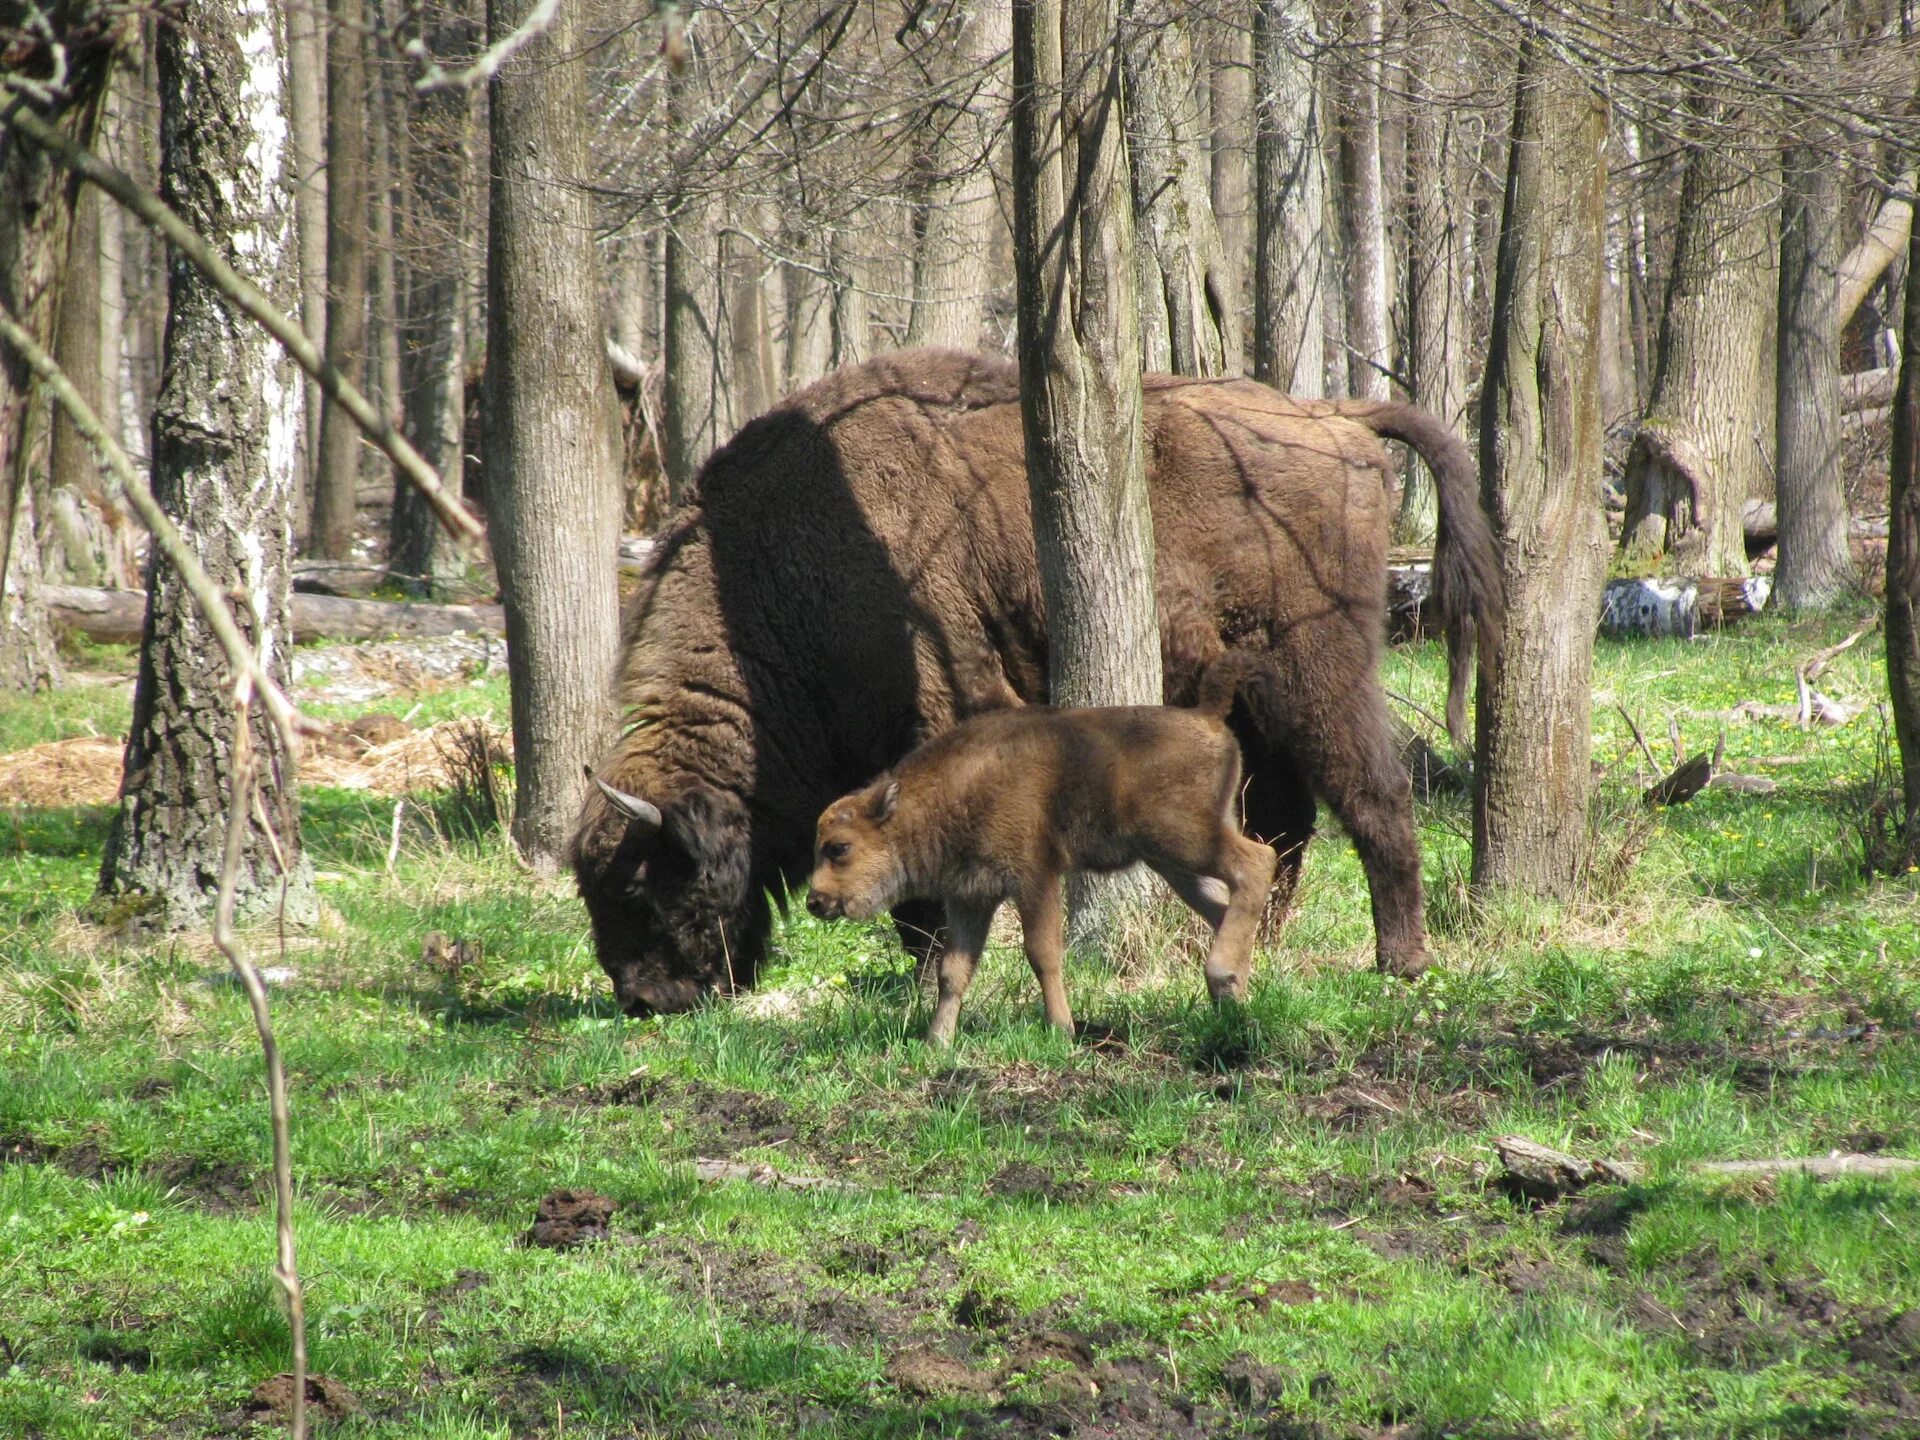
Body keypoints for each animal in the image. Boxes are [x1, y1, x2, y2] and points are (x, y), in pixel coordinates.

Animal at [806, 702, 1274, 1052]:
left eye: (839, 847)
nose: (815, 900)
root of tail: (1213, 726)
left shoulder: (1034, 879)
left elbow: (1041, 953)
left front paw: (1061, 1030)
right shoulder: (970, 898)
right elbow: (953, 970)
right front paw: (936, 1042)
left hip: (1183, 839)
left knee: (1257, 862)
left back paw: (1221, 976)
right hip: (1174, 863)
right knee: (1224, 904)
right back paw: (1232, 998)